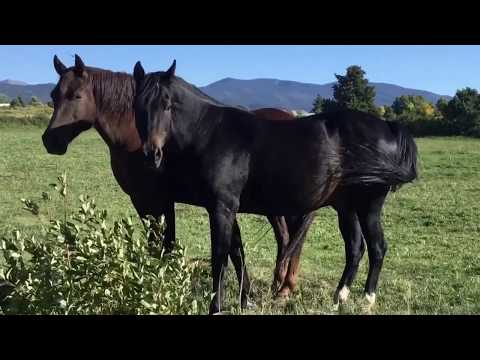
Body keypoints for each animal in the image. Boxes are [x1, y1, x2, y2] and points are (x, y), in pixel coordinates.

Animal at [40, 54, 316, 300]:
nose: (50, 141)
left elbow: (163, 245)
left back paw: (285, 288)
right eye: (54, 95)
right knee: (286, 237)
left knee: (295, 237)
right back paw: (279, 283)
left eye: (76, 96)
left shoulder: (154, 200)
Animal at [133, 60, 418, 314]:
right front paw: (242, 301)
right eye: (138, 106)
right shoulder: (224, 208)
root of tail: (388, 126)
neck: (210, 132)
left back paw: (367, 300)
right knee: (355, 248)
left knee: (377, 248)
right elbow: (236, 253)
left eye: (167, 105)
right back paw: (339, 297)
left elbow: (220, 258)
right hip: (346, 207)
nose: (151, 154)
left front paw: (217, 307)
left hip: (369, 206)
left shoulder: (222, 207)